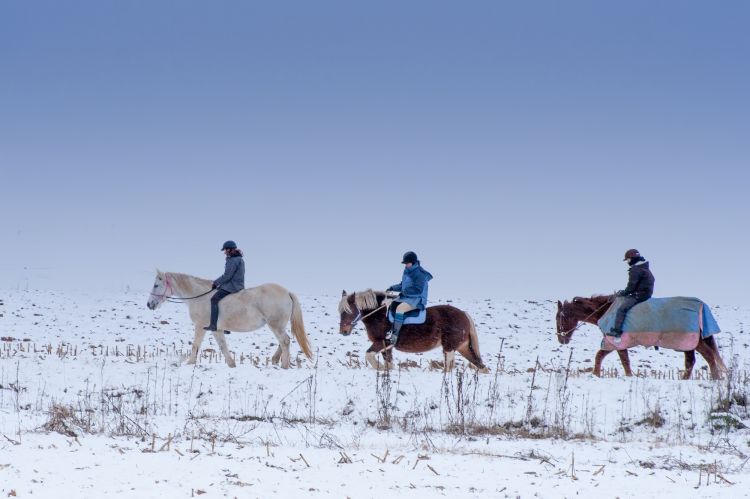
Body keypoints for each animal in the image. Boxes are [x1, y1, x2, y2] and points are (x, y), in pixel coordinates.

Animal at [147, 272, 314, 370]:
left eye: (156, 285)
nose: (149, 304)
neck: (200, 297)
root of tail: (287, 292)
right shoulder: (217, 329)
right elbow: (223, 346)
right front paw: (231, 364)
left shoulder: (200, 327)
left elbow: (195, 345)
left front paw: (189, 363)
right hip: (277, 325)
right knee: (284, 341)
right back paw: (274, 360)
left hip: (275, 325)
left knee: (284, 341)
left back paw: (284, 366)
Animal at [340, 290, 490, 372]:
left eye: (348, 311)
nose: (343, 331)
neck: (380, 315)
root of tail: (463, 314)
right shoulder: (387, 347)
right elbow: (388, 363)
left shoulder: (381, 342)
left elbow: (369, 355)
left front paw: (380, 368)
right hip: (462, 347)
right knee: (480, 365)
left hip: (449, 348)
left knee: (449, 366)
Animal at [560, 294, 728, 380]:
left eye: (560, 317)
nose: (561, 339)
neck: (605, 311)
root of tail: (701, 306)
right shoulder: (619, 344)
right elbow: (622, 360)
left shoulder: (614, 342)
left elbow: (602, 356)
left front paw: (596, 374)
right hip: (688, 344)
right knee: (690, 361)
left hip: (694, 342)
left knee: (708, 355)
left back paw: (715, 378)